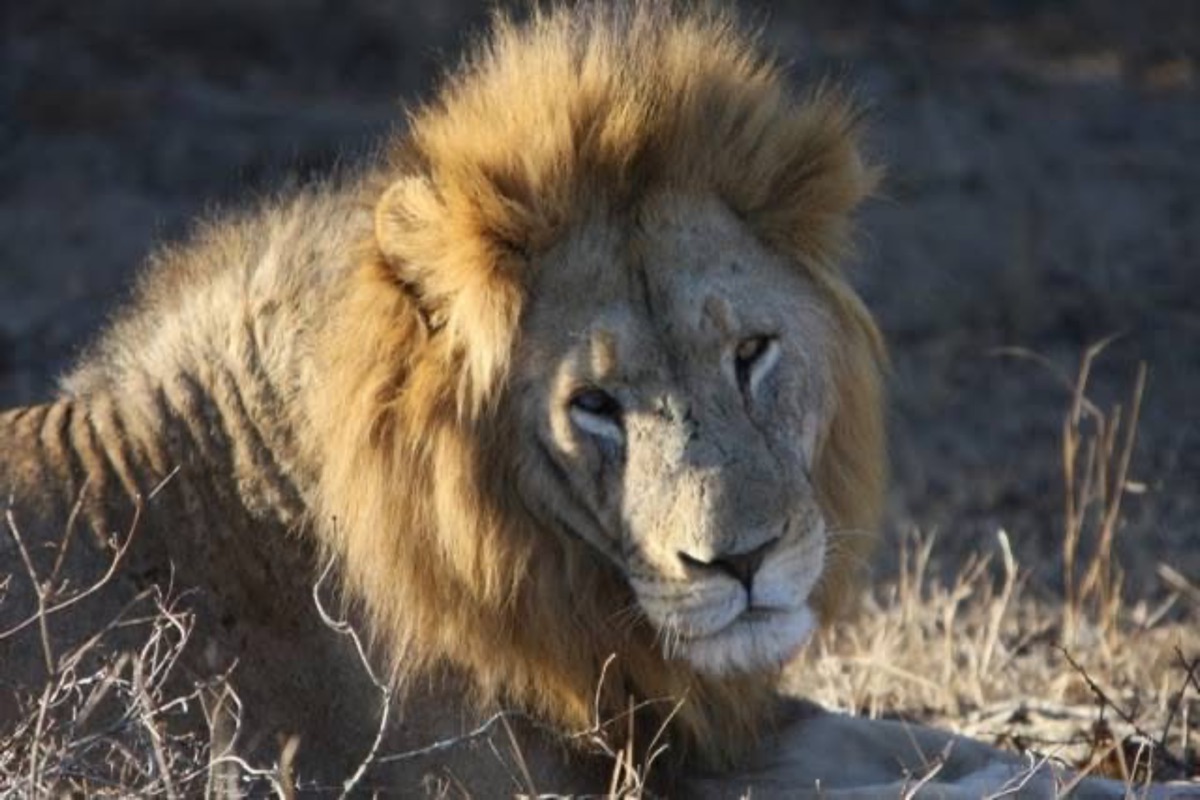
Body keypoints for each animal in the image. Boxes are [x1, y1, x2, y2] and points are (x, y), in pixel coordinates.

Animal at [0, 4, 1138, 797]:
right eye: (592, 403)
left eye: (751, 352)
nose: (742, 563)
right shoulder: (478, 773)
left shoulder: (675, 721)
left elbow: (916, 739)